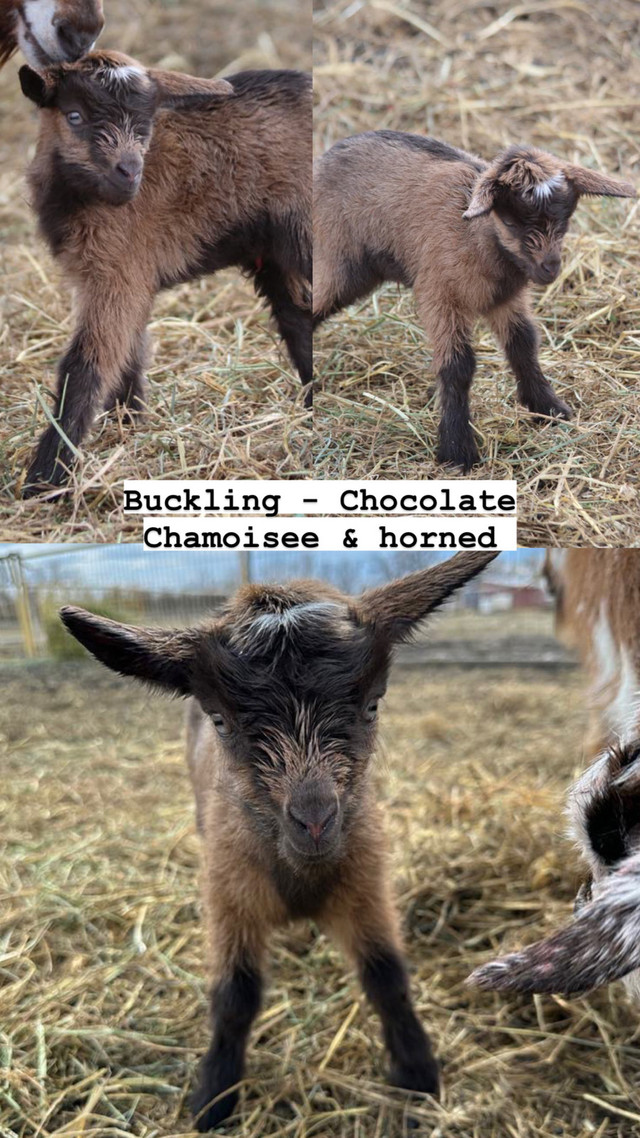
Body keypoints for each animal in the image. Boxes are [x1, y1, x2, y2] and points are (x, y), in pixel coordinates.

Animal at [18, 51, 309, 493]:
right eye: (74, 116)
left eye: (147, 121)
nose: (128, 171)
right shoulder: (118, 278)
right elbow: (129, 353)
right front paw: (129, 425)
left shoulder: (119, 272)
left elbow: (85, 365)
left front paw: (45, 479)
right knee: (297, 320)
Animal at [312, 133, 628, 471]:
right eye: (511, 221)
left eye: (565, 220)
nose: (550, 268)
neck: (477, 238)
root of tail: (325, 157)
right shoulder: (440, 295)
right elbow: (458, 366)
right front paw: (457, 450)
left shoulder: (505, 299)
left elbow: (523, 344)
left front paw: (547, 406)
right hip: (338, 260)